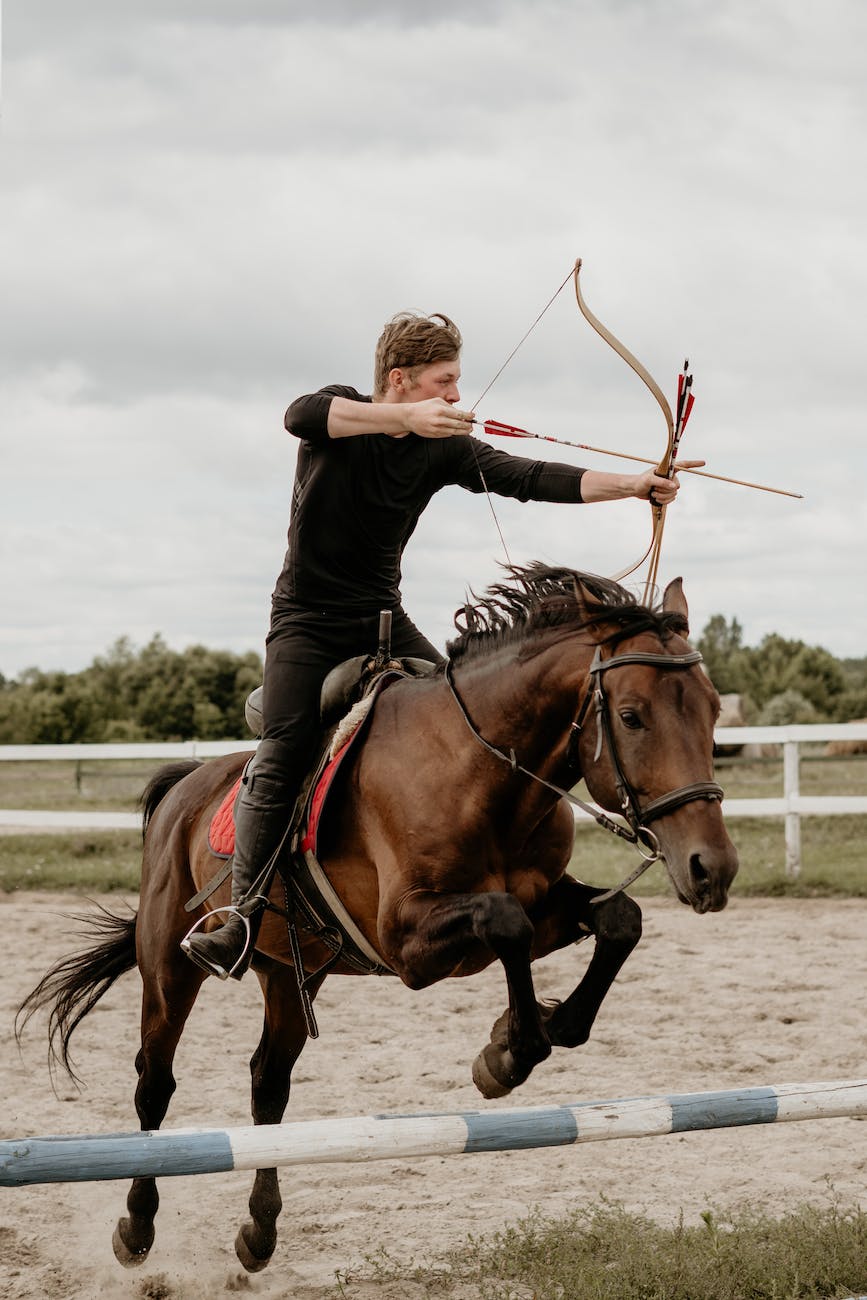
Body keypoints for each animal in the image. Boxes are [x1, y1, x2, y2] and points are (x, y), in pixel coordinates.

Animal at [17, 564, 738, 1274]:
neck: (480, 773)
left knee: (267, 1083)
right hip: (170, 966)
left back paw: (259, 1233)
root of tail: (185, 786)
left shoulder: (539, 904)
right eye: (631, 716)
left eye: (711, 711)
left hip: (291, 971)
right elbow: (507, 922)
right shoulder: (408, 943)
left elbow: (617, 919)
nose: (712, 869)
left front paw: (540, 1027)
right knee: (155, 1084)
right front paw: (510, 1050)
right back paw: (136, 1228)